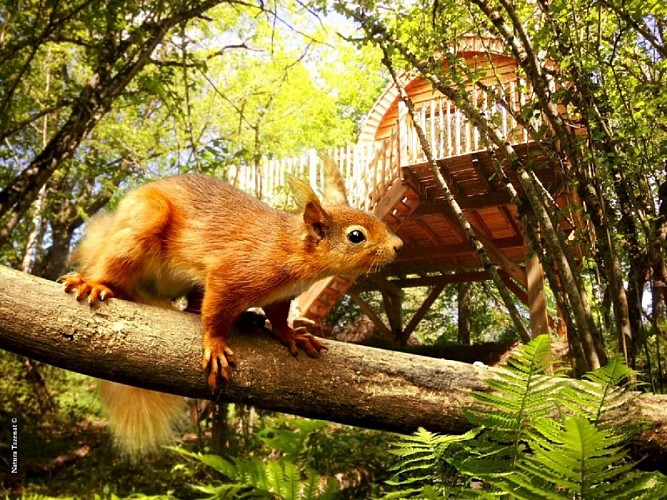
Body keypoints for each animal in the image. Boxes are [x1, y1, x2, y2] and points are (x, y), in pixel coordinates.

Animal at [60, 162, 402, 456]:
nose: (398, 246)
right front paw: (214, 345)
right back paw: (95, 283)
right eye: (356, 236)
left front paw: (292, 335)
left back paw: (245, 318)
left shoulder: (281, 296)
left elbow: (278, 317)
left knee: (192, 307)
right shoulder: (230, 273)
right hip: (142, 223)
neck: (290, 248)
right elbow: (215, 313)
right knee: (117, 267)